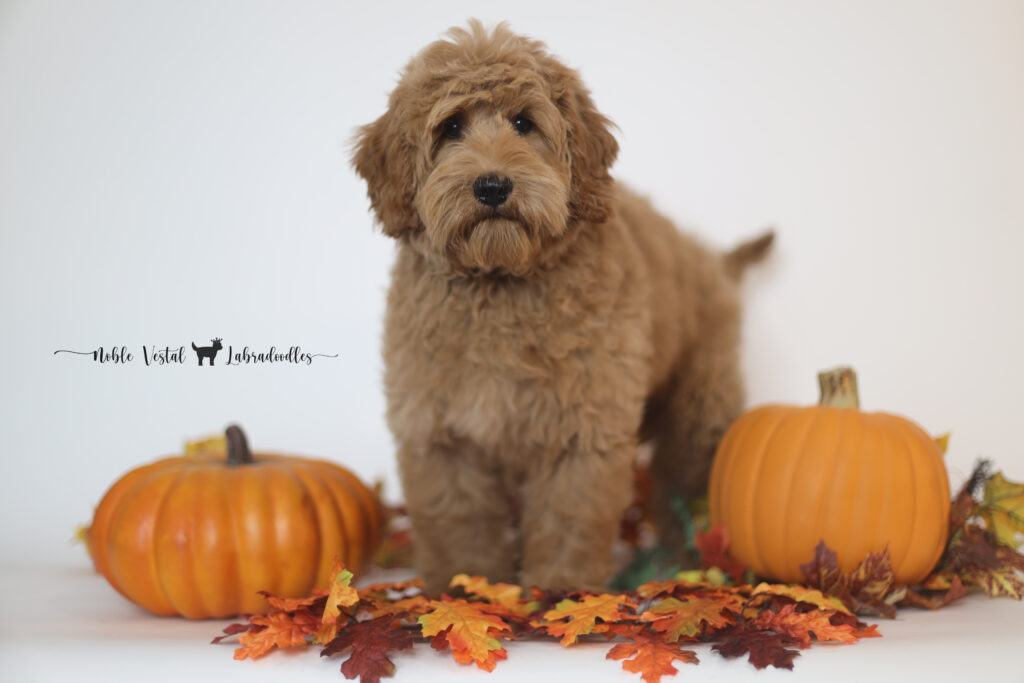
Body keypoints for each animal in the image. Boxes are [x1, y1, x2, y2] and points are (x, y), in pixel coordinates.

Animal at [352, 18, 770, 589]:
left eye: (524, 123)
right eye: (451, 128)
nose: (492, 185)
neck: (500, 283)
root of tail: (711, 258)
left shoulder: (585, 425)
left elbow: (570, 511)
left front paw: (561, 586)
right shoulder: (439, 430)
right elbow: (458, 517)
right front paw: (465, 583)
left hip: (699, 410)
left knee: (686, 490)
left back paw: (686, 560)